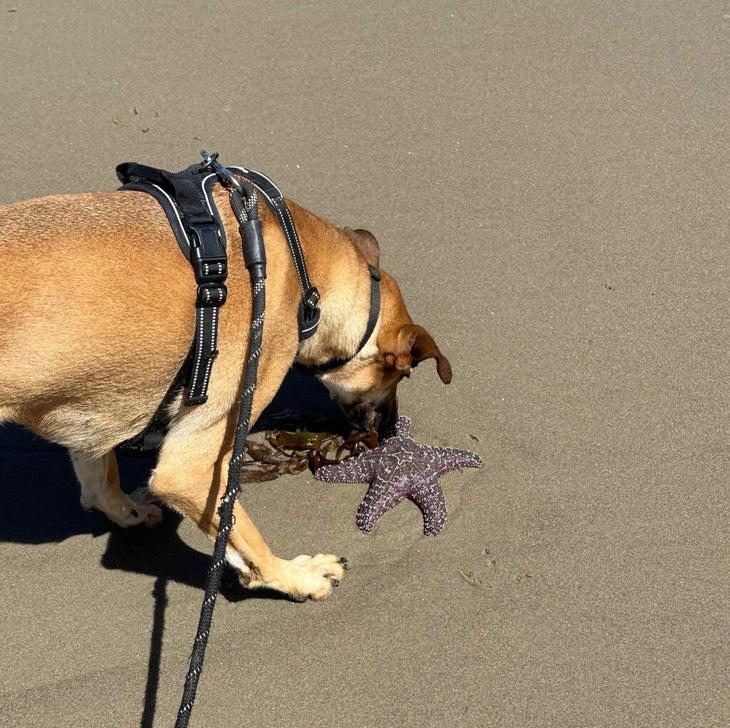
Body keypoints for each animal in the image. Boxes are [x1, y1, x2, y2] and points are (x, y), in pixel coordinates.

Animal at [0, 181, 450, 596]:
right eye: (401, 375)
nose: (388, 431)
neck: (301, 265)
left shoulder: (91, 417)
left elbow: (100, 482)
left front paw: (128, 511)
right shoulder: (191, 467)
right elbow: (245, 539)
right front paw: (295, 577)